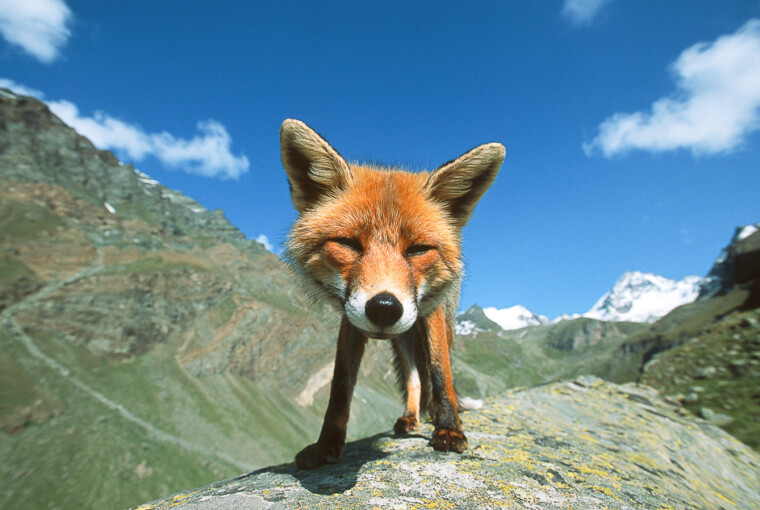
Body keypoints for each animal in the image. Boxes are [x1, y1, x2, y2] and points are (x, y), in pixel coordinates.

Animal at [280, 119, 504, 470]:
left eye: (418, 249)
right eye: (348, 244)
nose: (384, 307)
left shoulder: (432, 312)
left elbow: (441, 372)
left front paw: (449, 429)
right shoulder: (350, 317)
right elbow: (340, 385)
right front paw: (327, 445)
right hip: (403, 339)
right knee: (413, 379)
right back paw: (411, 417)